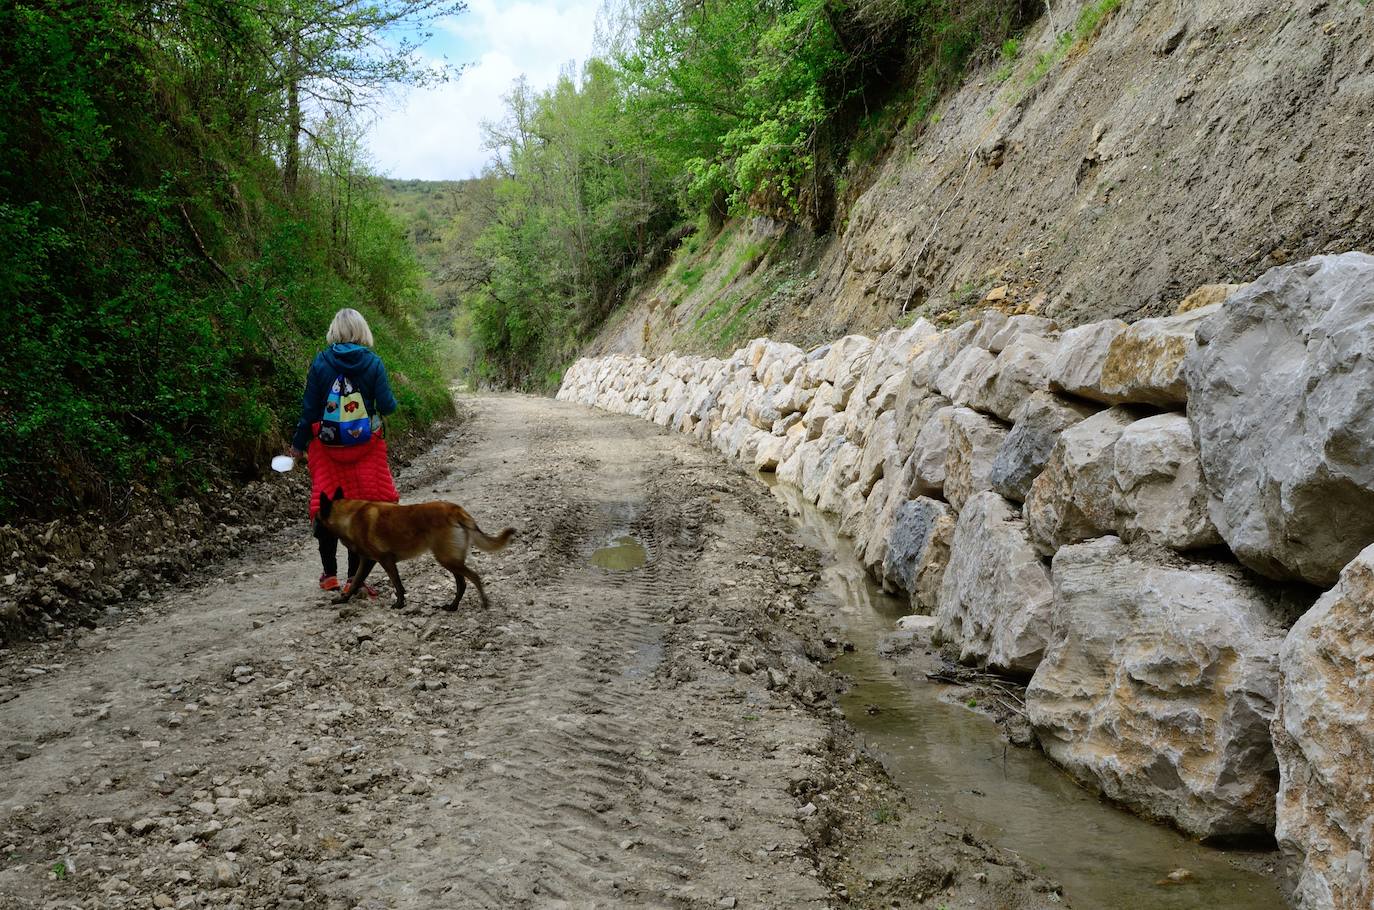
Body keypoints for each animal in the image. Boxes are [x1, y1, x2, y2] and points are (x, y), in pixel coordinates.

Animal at [316, 489, 516, 610]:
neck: (349, 515)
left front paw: (399, 603)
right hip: (450, 559)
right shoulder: (369, 561)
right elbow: (356, 581)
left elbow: (395, 583)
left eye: (317, 519)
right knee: (462, 583)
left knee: (473, 577)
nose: (314, 533)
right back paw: (452, 606)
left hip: (446, 559)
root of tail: (455, 510)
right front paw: (343, 599)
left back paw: (483, 602)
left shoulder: (383, 560)